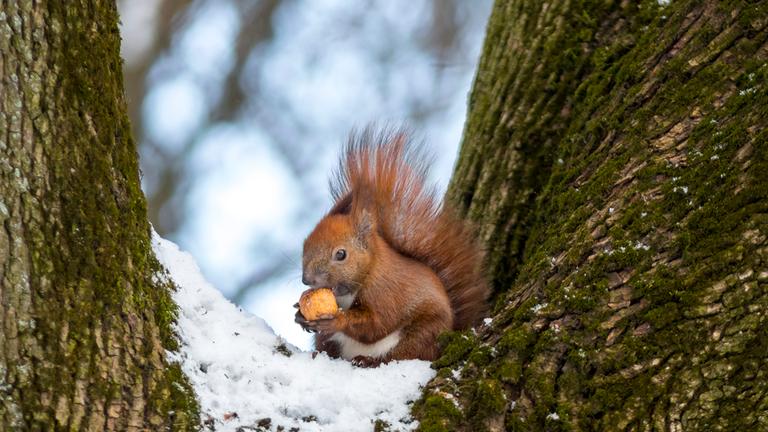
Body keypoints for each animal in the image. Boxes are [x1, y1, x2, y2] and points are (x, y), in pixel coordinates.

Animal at [295, 127, 489, 366]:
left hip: (423, 334)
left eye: (341, 254)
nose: (307, 280)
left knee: (400, 356)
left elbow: (377, 324)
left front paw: (337, 320)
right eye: (305, 244)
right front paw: (299, 313)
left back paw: (368, 361)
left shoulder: (388, 294)